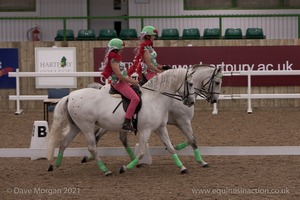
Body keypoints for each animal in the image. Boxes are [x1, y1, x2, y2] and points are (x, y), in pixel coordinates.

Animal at [47, 68, 195, 175]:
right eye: (191, 84)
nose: (191, 102)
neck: (155, 99)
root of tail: (70, 95)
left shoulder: (161, 128)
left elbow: (170, 147)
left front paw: (182, 168)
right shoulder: (145, 130)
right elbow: (141, 152)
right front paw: (124, 168)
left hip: (76, 126)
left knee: (64, 143)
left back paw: (55, 164)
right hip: (86, 126)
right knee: (92, 147)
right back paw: (106, 170)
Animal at [84, 64, 223, 167]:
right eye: (217, 82)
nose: (214, 100)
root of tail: (102, 88)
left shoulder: (172, 123)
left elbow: (190, 139)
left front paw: (174, 147)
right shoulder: (183, 121)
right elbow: (192, 139)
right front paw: (201, 161)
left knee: (120, 139)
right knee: (97, 135)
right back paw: (90, 157)